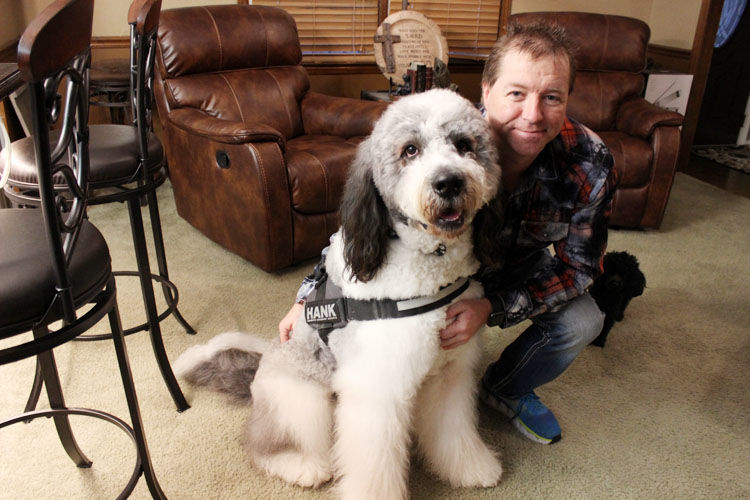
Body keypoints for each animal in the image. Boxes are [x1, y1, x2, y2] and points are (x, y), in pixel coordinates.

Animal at [175, 90, 506, 500]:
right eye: (410, 150)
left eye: (463, 145)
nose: (449, 182)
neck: (430, 269)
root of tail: (259, 370)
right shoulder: (376, 390)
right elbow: (374, 464)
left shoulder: (449, 373)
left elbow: (453, 431)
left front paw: (471, 468)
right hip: (302, 403)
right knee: (263, 443)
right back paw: (300, 466)